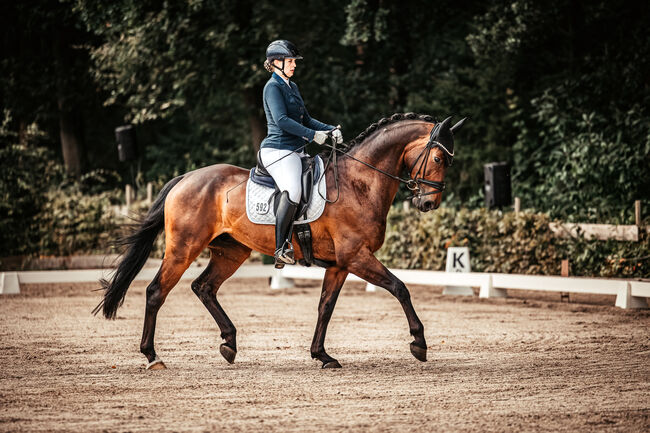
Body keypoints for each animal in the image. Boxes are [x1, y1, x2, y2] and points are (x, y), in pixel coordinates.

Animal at [93, 111, 464, 368]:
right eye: (438, 158)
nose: (428, 203)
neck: (359, 182)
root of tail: (186, 178)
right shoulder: (357, 256)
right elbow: (400, 288)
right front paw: (419, 343)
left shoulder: (341, 264)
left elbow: (325, 307)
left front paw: (322, 355)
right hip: (182, 249)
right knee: (156, 291)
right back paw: (152, 356)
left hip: (231, 253)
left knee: (204, 287)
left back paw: (229, 344)